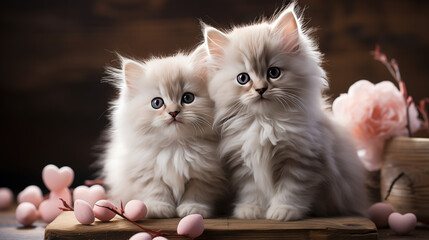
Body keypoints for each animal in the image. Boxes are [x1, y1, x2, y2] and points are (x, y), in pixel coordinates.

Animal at [101, 46, 226, 218]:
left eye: (187, 98)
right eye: (157, 103)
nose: (173, 112)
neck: (176, 148)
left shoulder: (206, 176)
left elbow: (197, 194)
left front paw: (193, 209)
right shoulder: (146, 173)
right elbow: (156, 190)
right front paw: (158, 208)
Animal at [202, 4, 366, 221]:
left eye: (274, 72)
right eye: (243, 78)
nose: (261, 89)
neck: (264, 123)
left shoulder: (302, 161)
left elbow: (291, 190)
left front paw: (283, 211)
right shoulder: (245, 165)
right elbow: (252, 190)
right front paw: (250, 210)